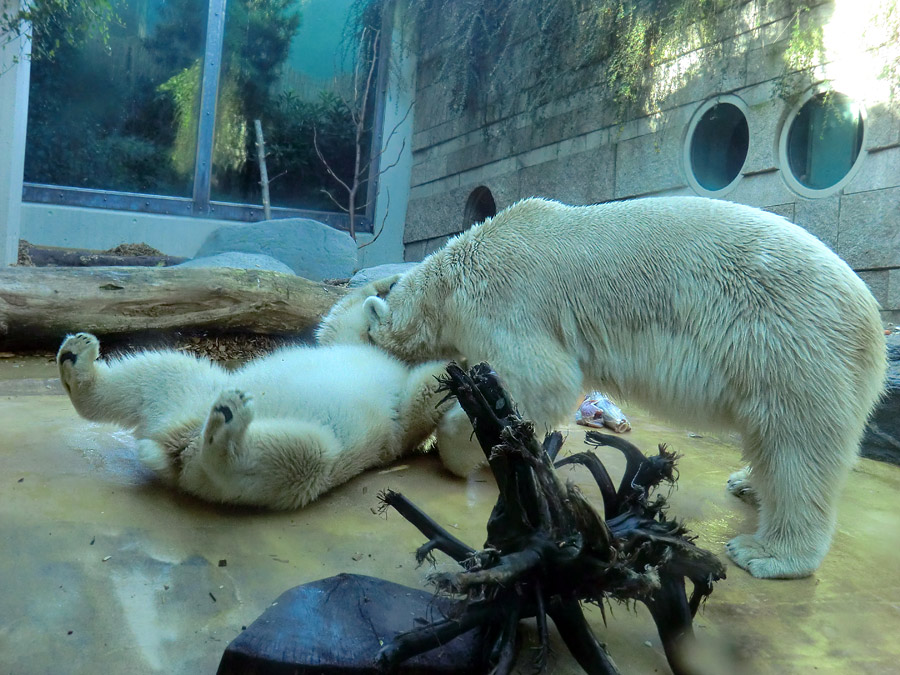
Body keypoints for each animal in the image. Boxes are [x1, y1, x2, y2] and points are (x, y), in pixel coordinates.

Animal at [318, 197, 884, 580]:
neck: (450, 279)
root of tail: (872, 318)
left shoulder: (507, 300)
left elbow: (540, 378)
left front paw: (464, 448)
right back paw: (746, 482)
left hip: (788, 342)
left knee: (796, 446)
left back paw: (767, 552)